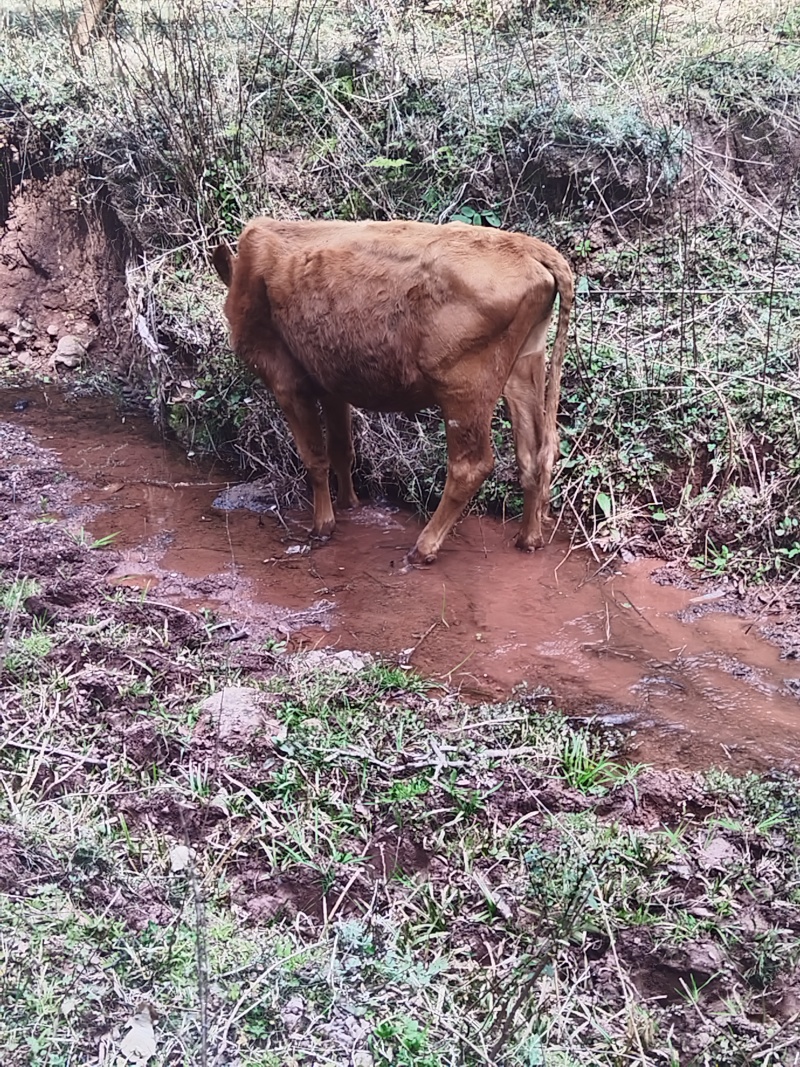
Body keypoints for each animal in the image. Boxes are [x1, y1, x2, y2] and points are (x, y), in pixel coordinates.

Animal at [213, 216, 571, 567]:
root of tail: (526, 245)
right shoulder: (332, 384)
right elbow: (342, 449)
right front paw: (348, 504)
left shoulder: (287, 382)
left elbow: (314, 458)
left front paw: (322, 526)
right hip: (524, 368)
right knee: (534, 453)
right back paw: (529, 538)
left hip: (465, 389)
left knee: (471, 466)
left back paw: (424, 547)